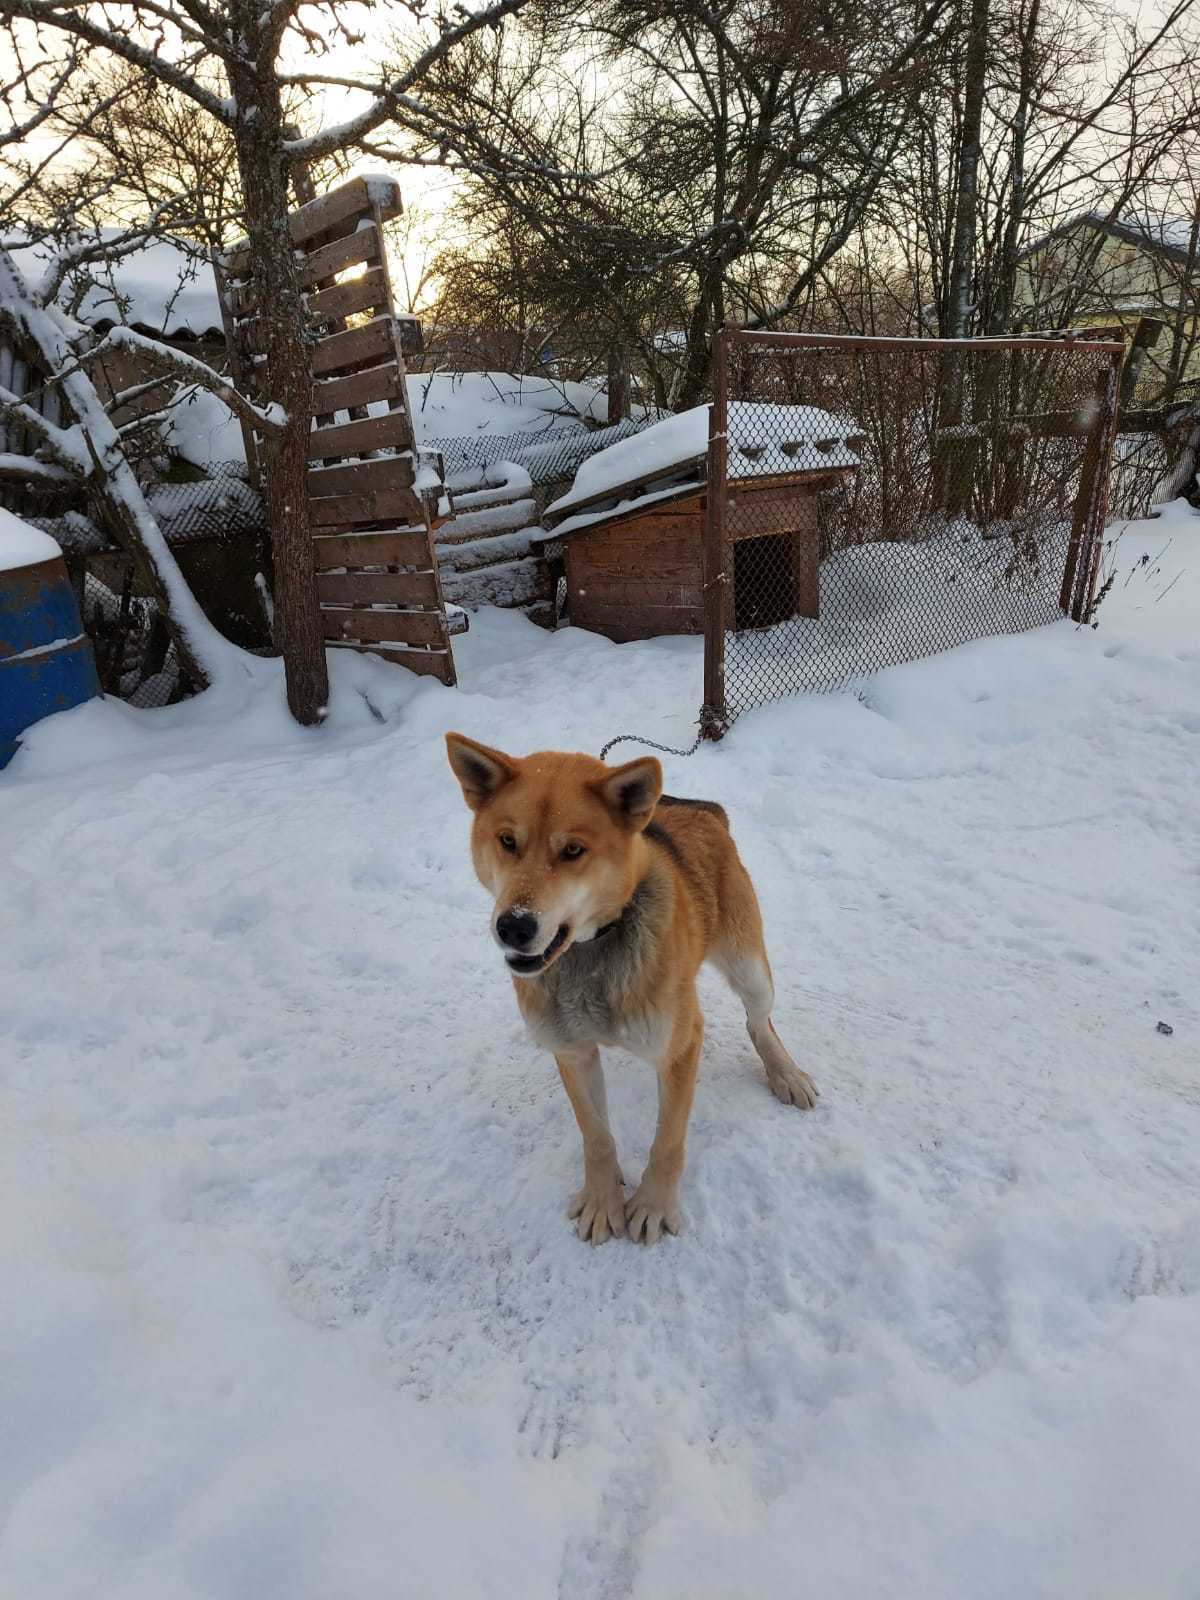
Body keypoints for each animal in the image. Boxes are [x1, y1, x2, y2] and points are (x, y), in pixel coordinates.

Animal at [448, 736, 825, 1248]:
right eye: (507, 841)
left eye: (573, 850)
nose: (514, 926)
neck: (591, 954)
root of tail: (701, 810)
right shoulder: (572, 1052)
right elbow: (596, 1137)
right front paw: (604, 1200)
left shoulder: (679, 1047)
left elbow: (667, 1139)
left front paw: (652, 1205)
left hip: (750, 970)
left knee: (758, 1022)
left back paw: (785, 1072)